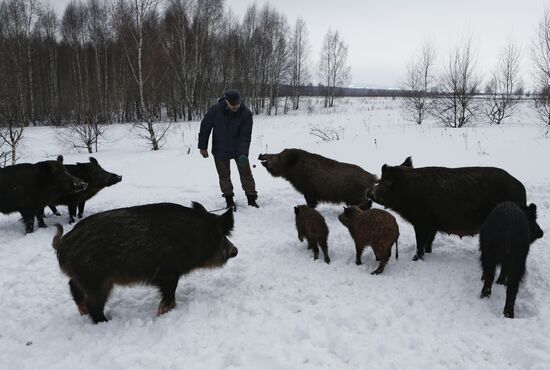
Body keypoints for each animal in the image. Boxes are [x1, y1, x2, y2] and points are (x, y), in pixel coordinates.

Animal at [52, 202, 239, 324]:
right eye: (222, 236)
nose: (235, 250)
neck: (195, 236)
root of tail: (63, 243)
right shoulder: (168, 272)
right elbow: (169, 295)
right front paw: (161, 315)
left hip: (85, 279)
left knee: (73, 288)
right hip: (98, 281)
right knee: (93, 305)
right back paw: (105, 322)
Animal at [368, 156, 528, 260]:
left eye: (387, 182)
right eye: (380, 180)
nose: (369, 192)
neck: (407, 190)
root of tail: (521, 188)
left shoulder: (422, 221)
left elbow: (420, 241)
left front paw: (415, 258)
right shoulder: (433, 224)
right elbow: (429, 241)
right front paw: (429, 253)